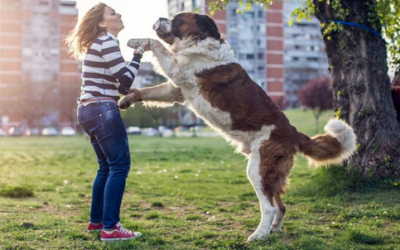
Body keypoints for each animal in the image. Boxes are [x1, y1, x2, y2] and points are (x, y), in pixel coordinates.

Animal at [118, 12, 356, 241]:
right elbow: (150, 91)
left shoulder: (178, 70)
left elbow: (156, 44)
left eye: (177, 19)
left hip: (258, 169)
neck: (199, 41)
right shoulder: (177, 89)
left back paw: (258, 235)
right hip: (271, 174)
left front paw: (136, 41)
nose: (159, 19)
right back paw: (274, 230)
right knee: (281, 205)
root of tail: (293, 132)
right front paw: (127, 99)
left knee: (269, 207)